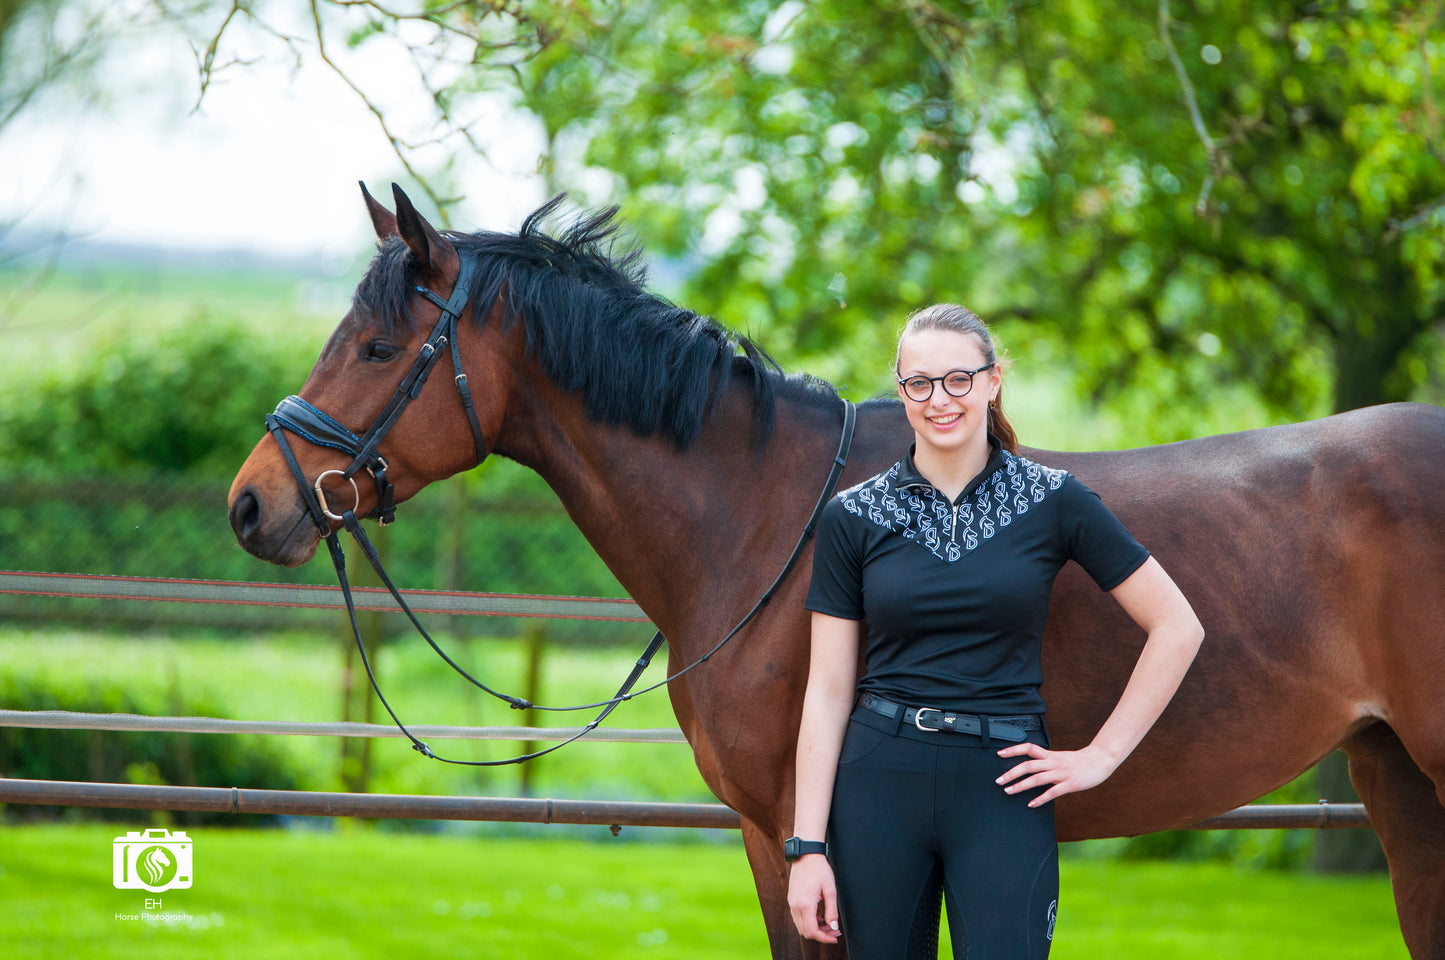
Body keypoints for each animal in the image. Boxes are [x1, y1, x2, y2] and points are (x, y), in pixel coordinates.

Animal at [225, 183, 1445, 954]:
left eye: (380, 347)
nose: (253, 504)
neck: (761, 520)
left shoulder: (823, 844)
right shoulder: (776, 846)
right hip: (1398, 781)